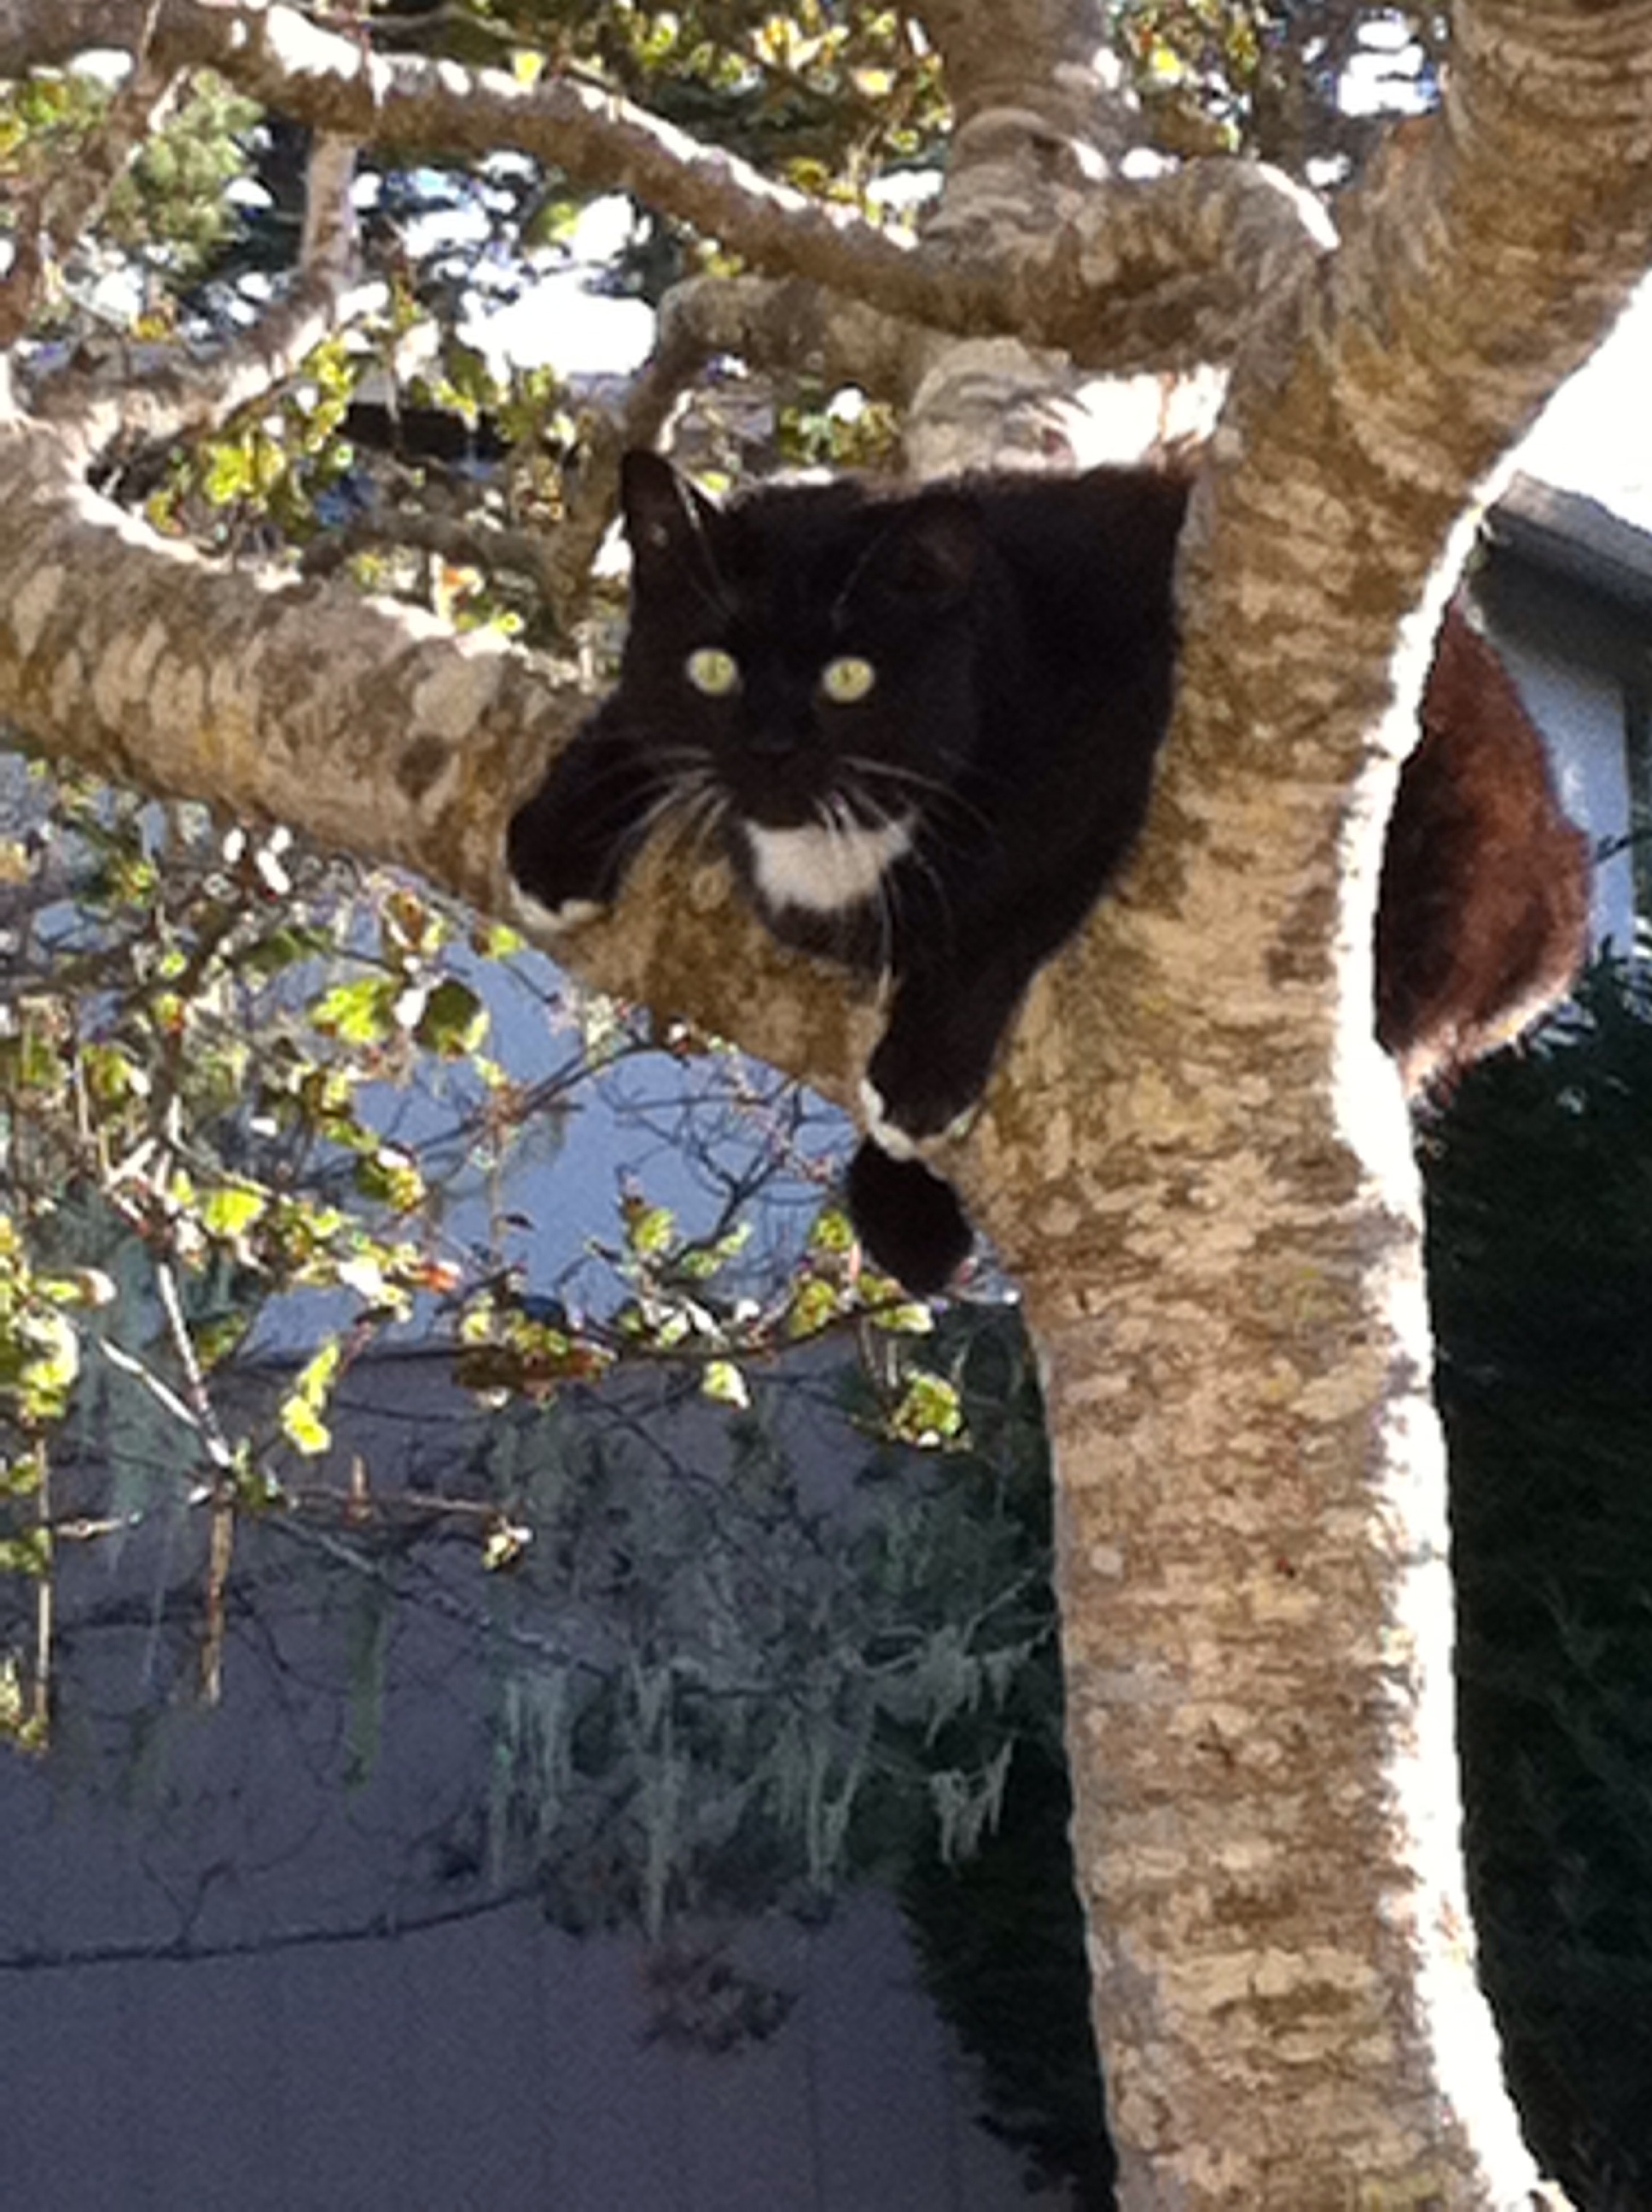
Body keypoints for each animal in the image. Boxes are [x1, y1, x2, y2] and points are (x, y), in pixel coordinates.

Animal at [506, 450, 1590, 1293]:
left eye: (851, 677)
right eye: (713, 669)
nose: (772, 748)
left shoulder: (1128, 728)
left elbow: (1015, 896)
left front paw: (921, 1073)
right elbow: (637, 719)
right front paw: (555, 838)